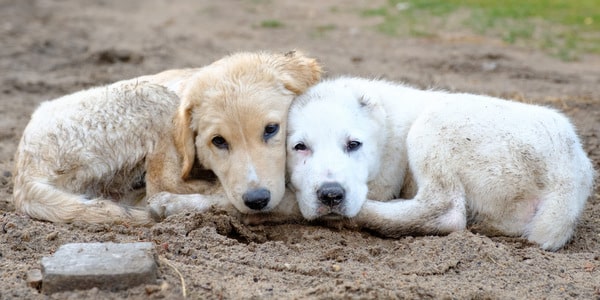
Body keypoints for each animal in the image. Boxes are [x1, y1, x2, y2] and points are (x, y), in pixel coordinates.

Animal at [12, 50, 324, 224]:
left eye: (271, 129)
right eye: (218, 141)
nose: (256, 200)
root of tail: (23, 177)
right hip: (155, 99)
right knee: (160, 185)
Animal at [286, 77, 596, 251]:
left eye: (354, 144)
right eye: (299, 147)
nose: (331, 195)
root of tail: (569, 173)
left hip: (431, 126)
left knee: (444, 210)